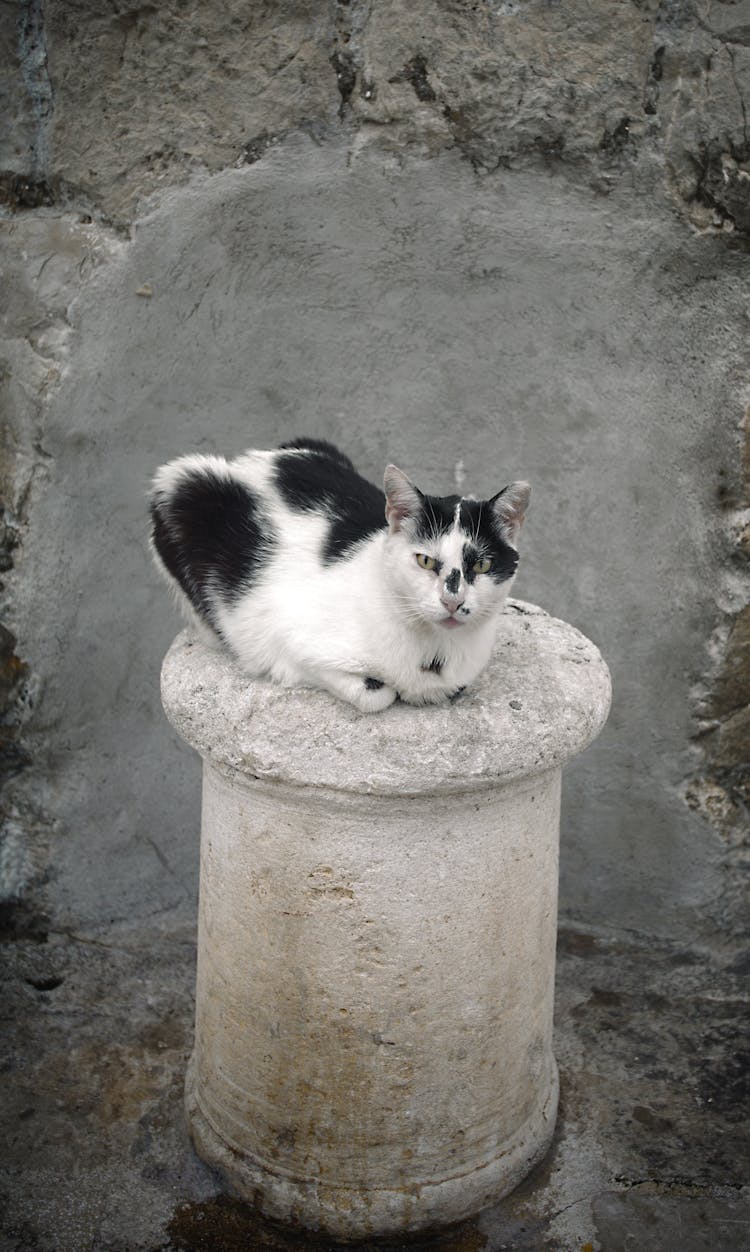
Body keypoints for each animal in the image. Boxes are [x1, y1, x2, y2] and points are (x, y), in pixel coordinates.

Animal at [149, 440, 530, 716]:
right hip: (180, 485)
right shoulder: (288, 638)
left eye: (482, 565)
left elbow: (453, 686)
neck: (437, 651)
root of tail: (253, 459)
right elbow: (374, 694)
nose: (453, 600)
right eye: (424, 560)